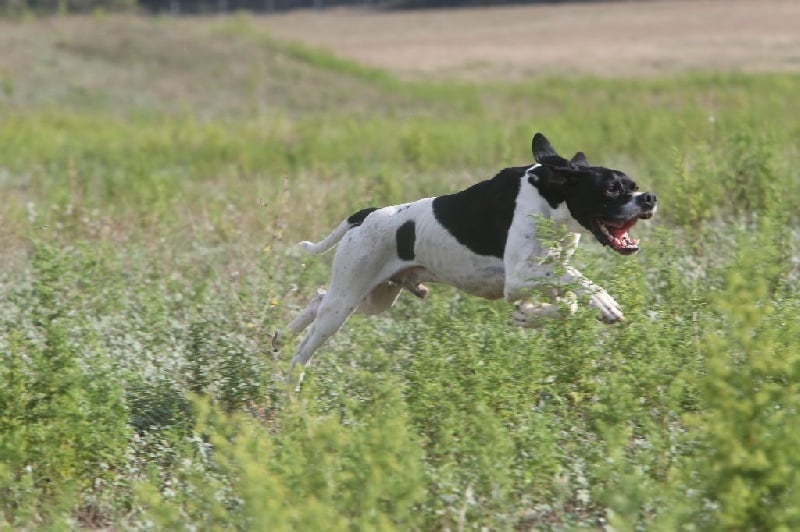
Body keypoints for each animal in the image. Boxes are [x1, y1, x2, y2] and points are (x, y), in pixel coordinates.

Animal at [280, 133, 656, 374]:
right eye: (611, 188)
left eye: (633, 186)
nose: (650, 198)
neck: (551, 197)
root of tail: (365, 215)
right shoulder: (519, 276)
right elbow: (578, 280)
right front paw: (605, 302)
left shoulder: (539, 277)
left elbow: (569, 301)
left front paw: (528, 316)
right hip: (346, 301)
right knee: (302, 354)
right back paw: (292, 392)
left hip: (372, 297)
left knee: (317, 297)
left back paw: (279, 337)